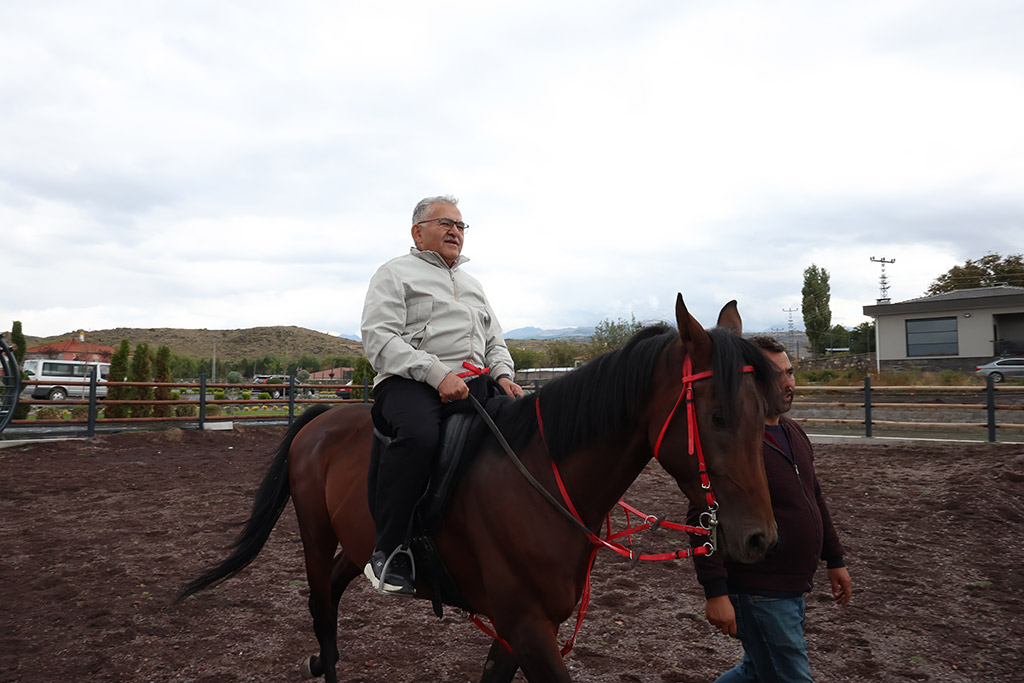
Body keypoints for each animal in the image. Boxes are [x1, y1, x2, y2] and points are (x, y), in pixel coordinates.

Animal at [180, 294, 778, 683]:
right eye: (717, 417)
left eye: (765, 414)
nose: (760, 540)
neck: (541, 479)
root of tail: (319, 419)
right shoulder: (527, 626)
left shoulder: (522, 630)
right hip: (313, 530)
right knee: (322, 605)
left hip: (359, 542)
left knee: (333, 587)